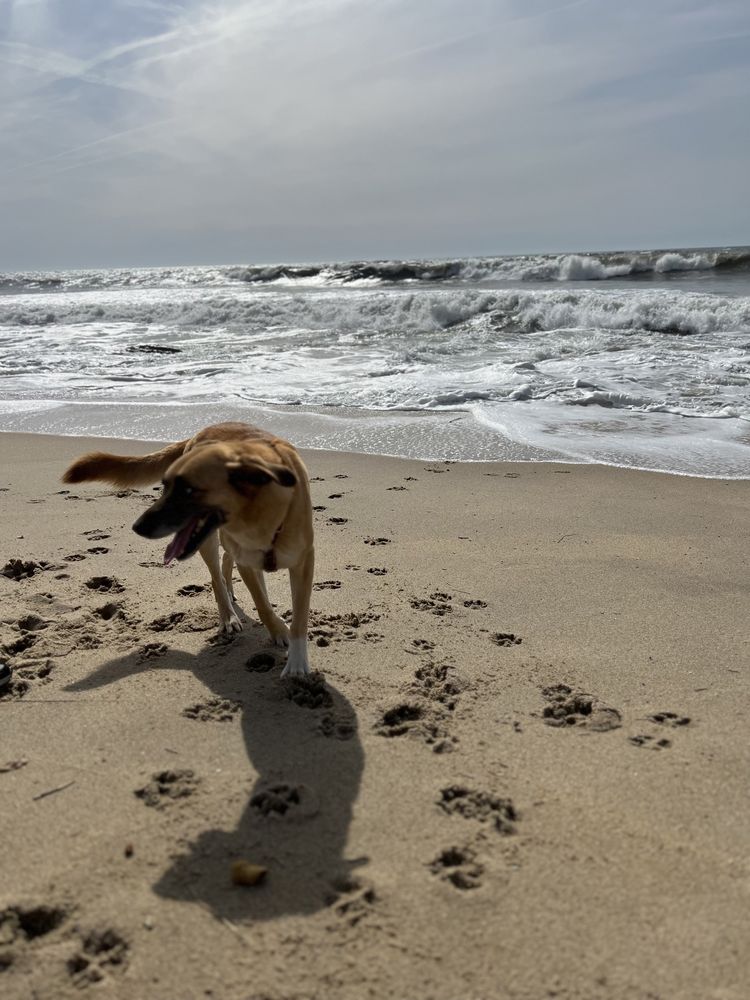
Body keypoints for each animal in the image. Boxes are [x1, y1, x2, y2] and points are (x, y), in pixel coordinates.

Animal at [61, 422, 314, 680]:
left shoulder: (303, 562)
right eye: (165, 487)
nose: (138, 526)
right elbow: (261, 602)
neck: (257, 516)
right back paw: (228, 615)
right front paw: (277, 630)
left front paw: (296, 660)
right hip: (207, 541)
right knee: (217, 576)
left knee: (228, 560)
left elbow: (299, 615)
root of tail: (204, 430)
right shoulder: (246, 558)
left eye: (188, 491)